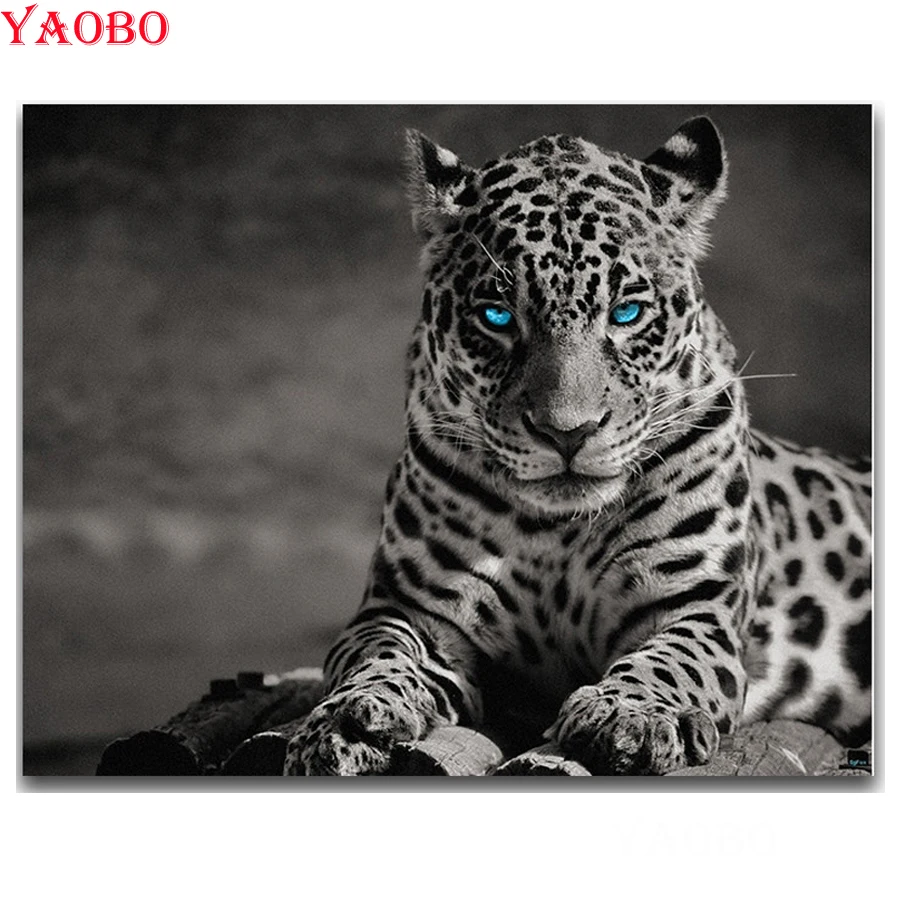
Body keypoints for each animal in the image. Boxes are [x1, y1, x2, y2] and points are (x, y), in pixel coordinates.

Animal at [284, 116, 872, 775]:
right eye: (496, 316)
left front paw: (630, 716)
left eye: (628, 312)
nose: (568, 431)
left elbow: (668, 662)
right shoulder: (407, 608)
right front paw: (346, 721)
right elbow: (375, 655)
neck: (556, 533)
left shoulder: (696, 608)